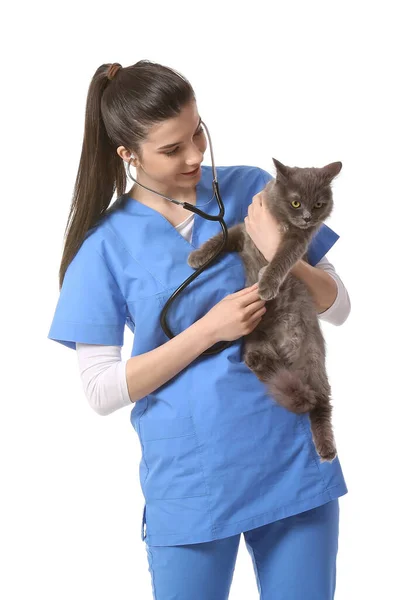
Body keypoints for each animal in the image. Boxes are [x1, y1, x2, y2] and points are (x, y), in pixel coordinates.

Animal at [188, 157, 342, 462]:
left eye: (319, 204)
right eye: (296, 202)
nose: (307, 217)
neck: (282, 221)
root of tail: (285, 346)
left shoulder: (297, 242)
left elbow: (281, 259)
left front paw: (267, 285)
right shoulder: (241, 232)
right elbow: (219, 241)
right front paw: (197, 256)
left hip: (313, 360)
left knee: (321, 403)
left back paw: (326, 448)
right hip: (256, 345)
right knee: (263, 366)